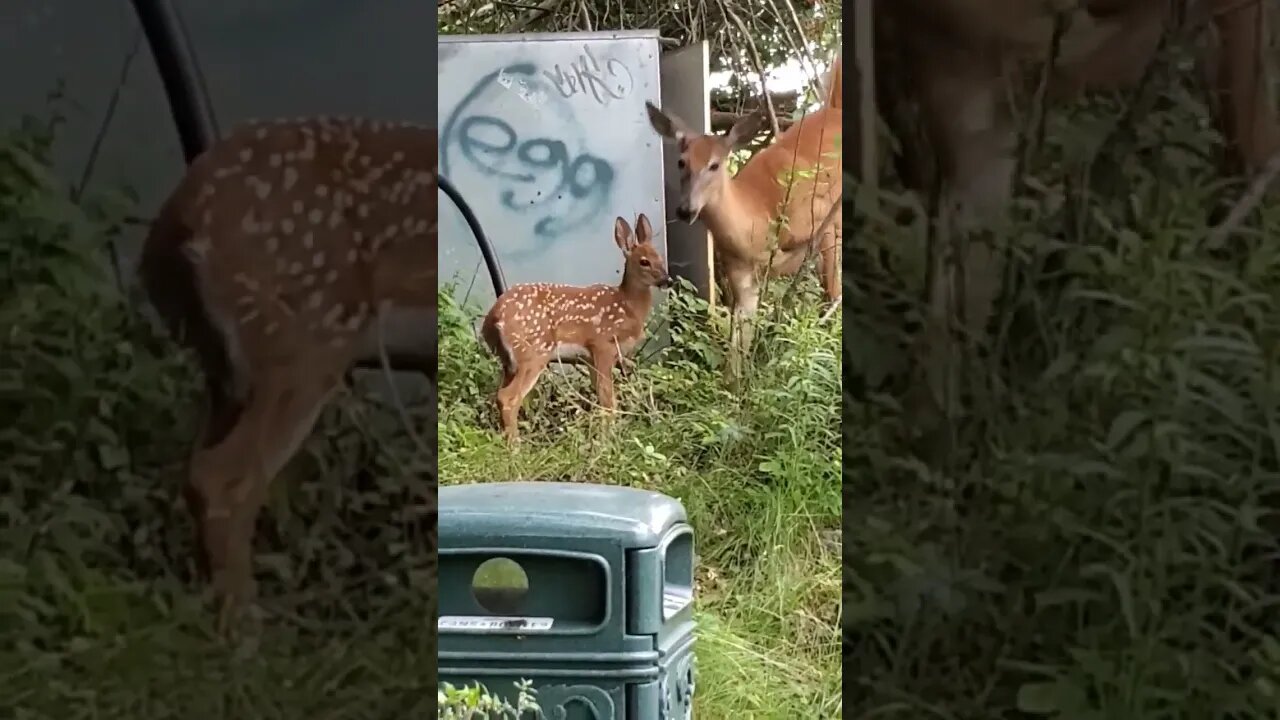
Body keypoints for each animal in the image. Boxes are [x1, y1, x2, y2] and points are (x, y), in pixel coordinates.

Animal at [139, 114, 437, 620]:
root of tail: (180, 216)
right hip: (310, 340)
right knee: (223, 478)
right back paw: (246, 629)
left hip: (228, 370)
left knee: (199, 473)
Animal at [481, 210, 675, 440]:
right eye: (644, 261)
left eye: (660, 258)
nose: (667, 280)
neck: (627, 306)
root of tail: (493, 318)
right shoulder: (602, 345)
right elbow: (609, 401)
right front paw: (607, 438)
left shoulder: (589, 359)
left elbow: (601, 398)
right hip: (534, 352)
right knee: (508, 398)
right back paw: (516, 445)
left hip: (509, 361)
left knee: (498, 395)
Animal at [645, 54, 844, 358]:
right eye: (681, 162)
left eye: (715, 164)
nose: (685, 210)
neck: (759, 218)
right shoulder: (741, 275)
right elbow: (738, 345)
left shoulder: (822, 221)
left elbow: (832, 294)